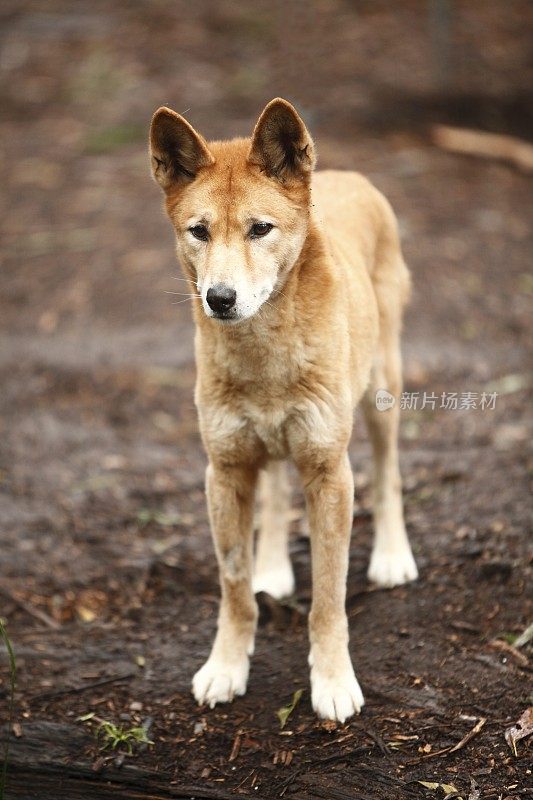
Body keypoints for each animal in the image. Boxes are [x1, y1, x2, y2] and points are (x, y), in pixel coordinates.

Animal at [149, 97, 416, 720]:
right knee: (272, 494)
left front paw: (334, 681)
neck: (263, 357)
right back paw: (272, 567)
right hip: (263, 447)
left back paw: (393, 556)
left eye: (260, 229)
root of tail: (347, 175)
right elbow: (233, 588)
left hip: (382, 395)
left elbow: (329, 595)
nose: (219, 298)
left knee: (389, 472)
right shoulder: (224, 472)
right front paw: (226, 667)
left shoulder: (329, 472)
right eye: (199, 231)